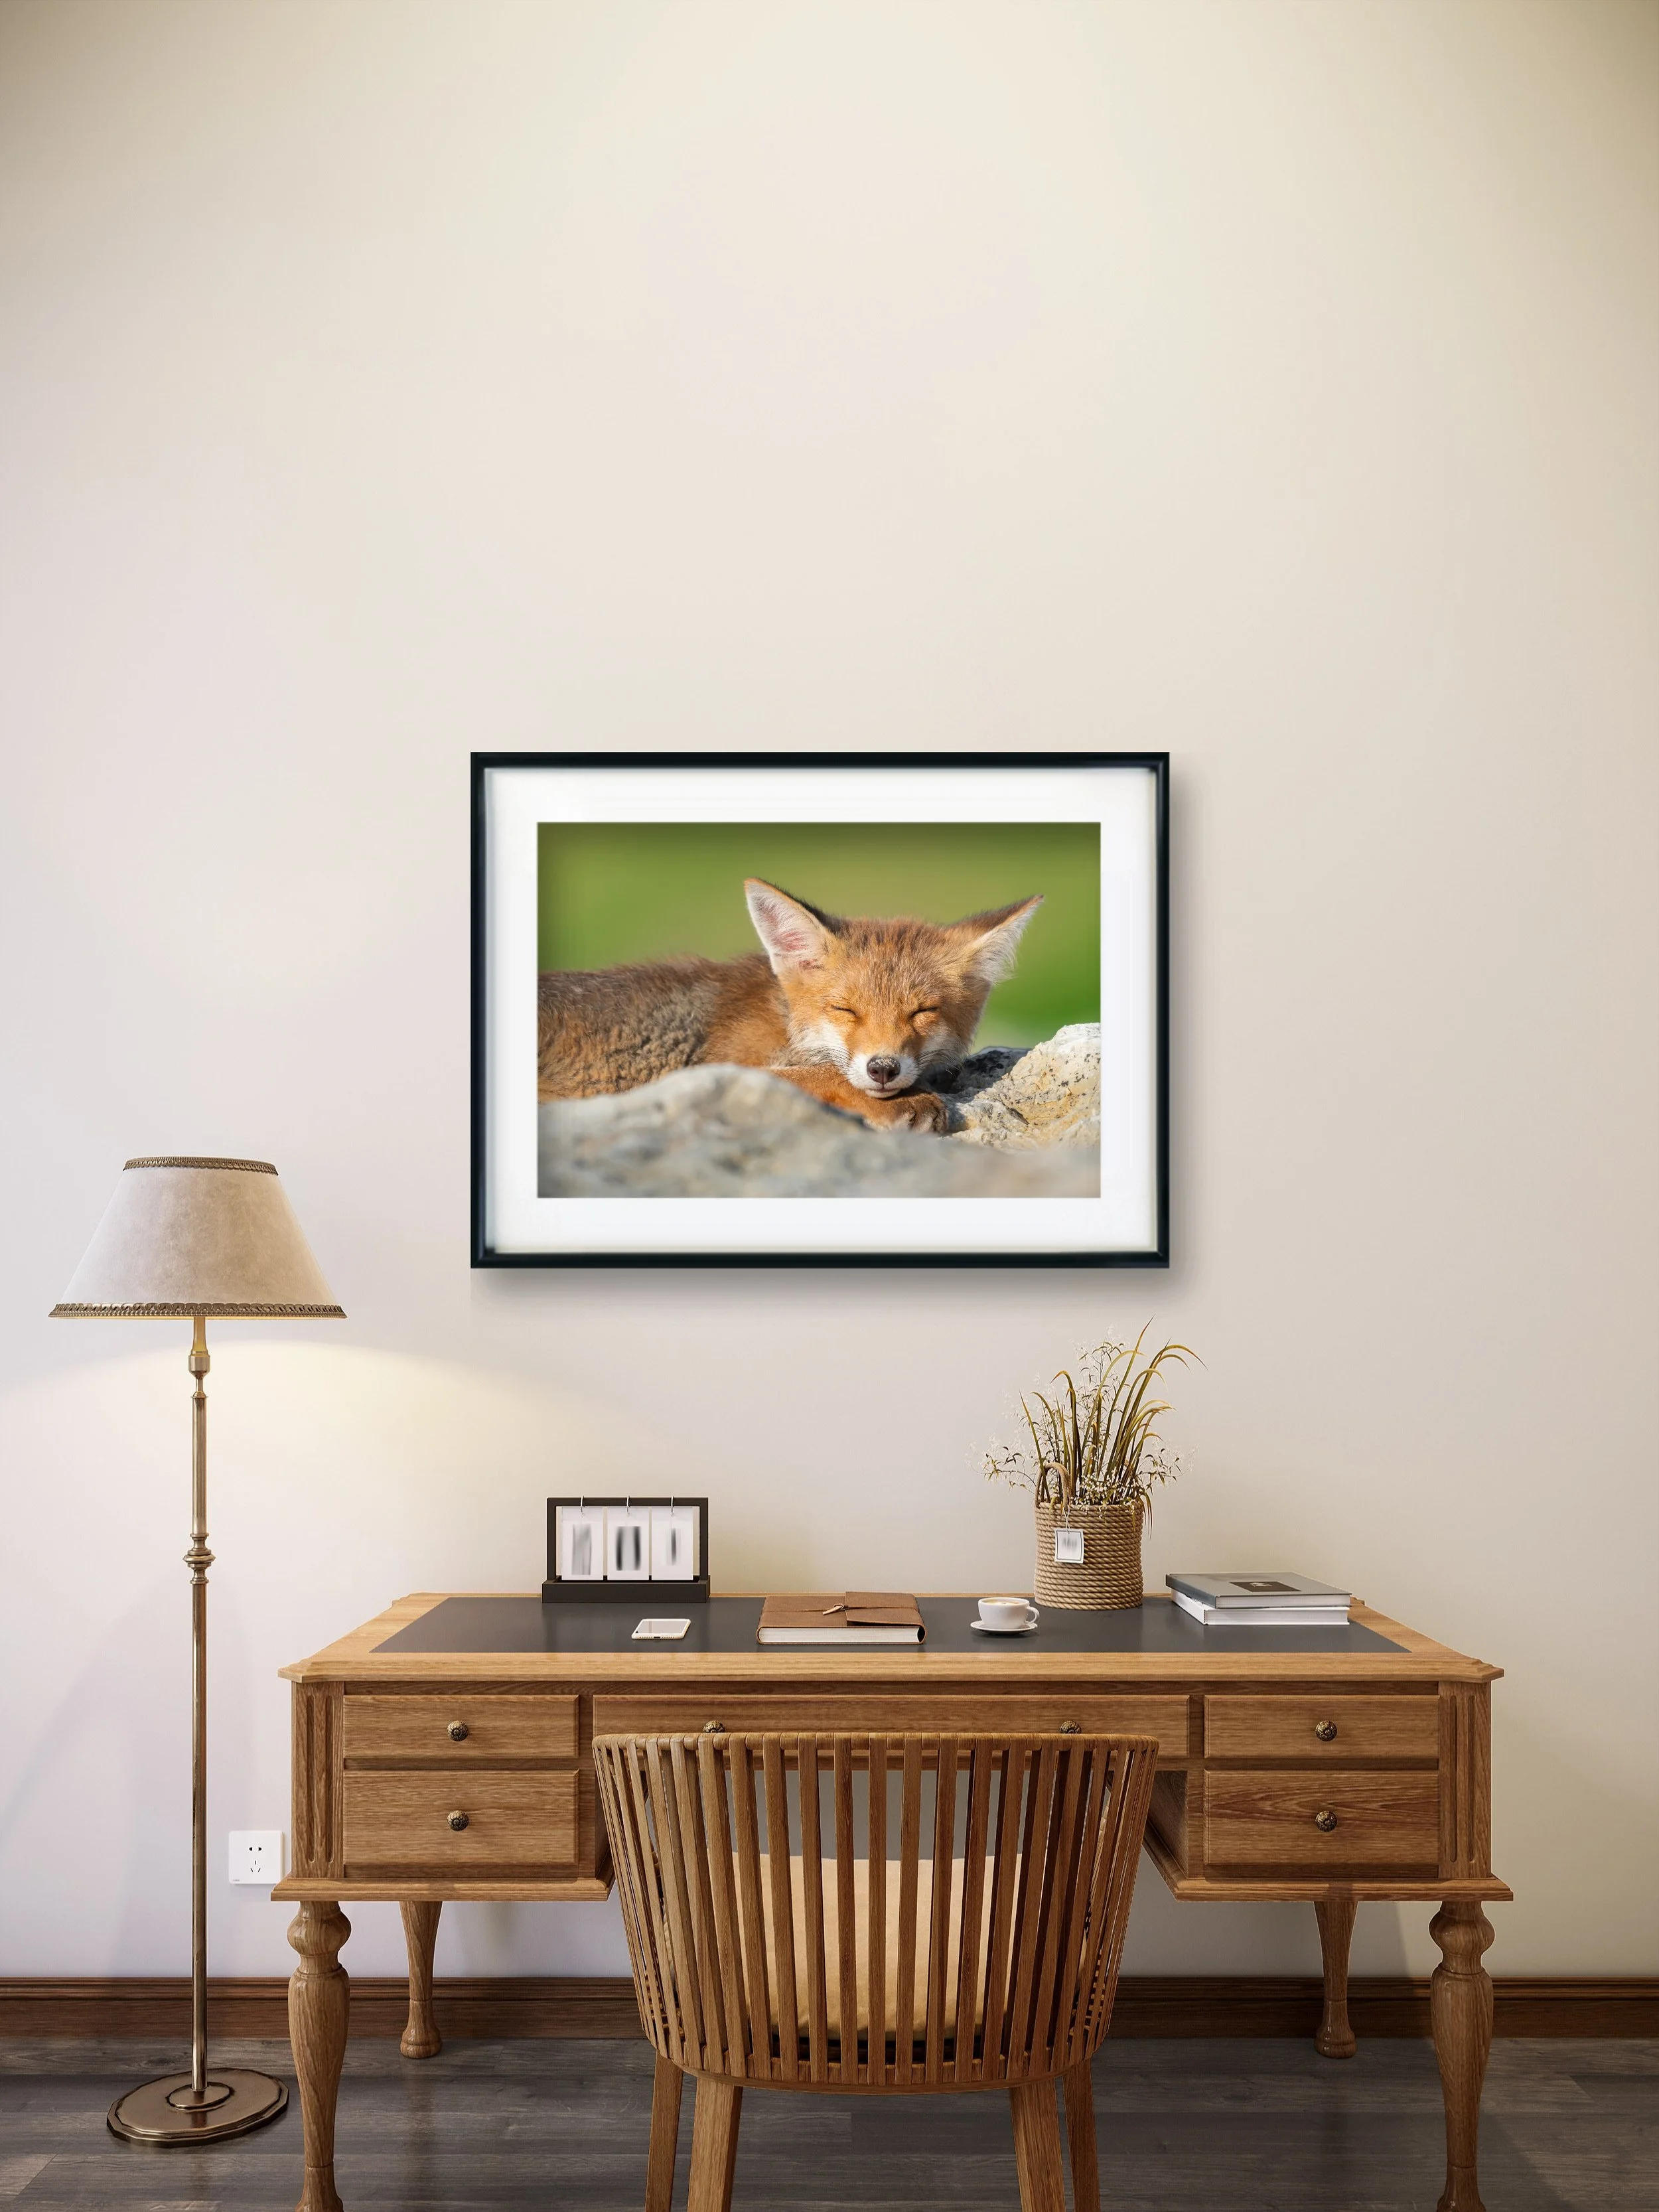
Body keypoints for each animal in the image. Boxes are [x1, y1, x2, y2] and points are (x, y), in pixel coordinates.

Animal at [537, 878, 1043, 1132]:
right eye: (845, 1010)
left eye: (922, 1012)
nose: (882, 1069)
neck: (785, 1025)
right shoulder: (713, 1070)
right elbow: (820, 1075)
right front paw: (905, 1103)